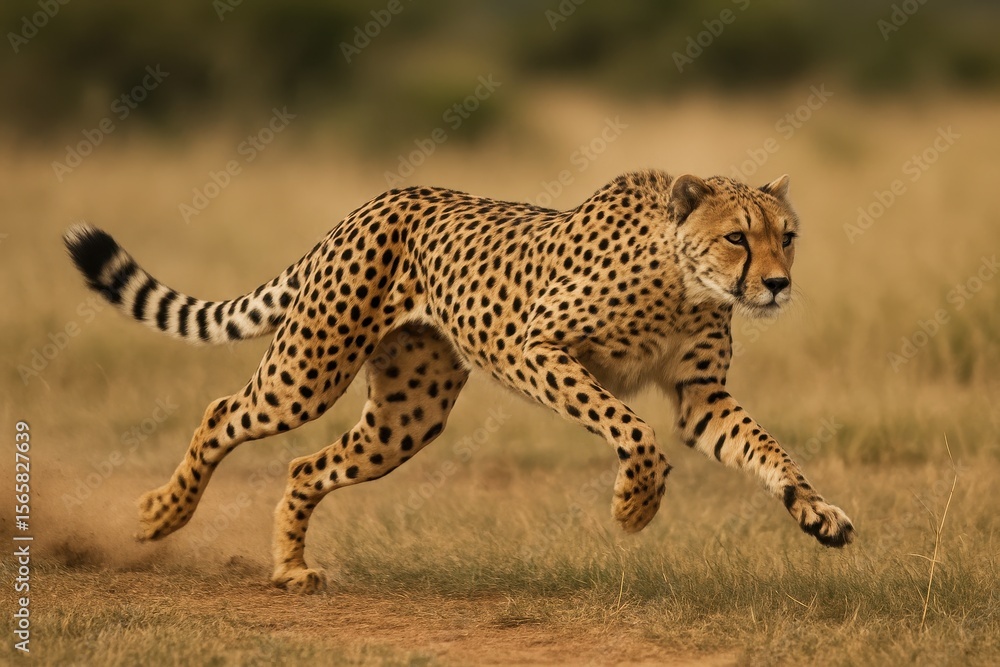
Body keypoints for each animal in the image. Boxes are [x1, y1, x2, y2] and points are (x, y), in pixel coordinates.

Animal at [64, 168, 855, 594]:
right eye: (737, 236)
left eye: (787, 235)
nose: (778, 284)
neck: (685, 282)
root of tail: (376, 200)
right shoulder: (537, 347)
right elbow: (634, 429)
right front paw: (634, 507)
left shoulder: (699, 397)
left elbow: (767, 450)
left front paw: (818, 513)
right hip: (309, 369)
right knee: (222, 409)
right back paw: (162, 514)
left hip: (406, 415)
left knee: (306, 465)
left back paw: (289, 566)